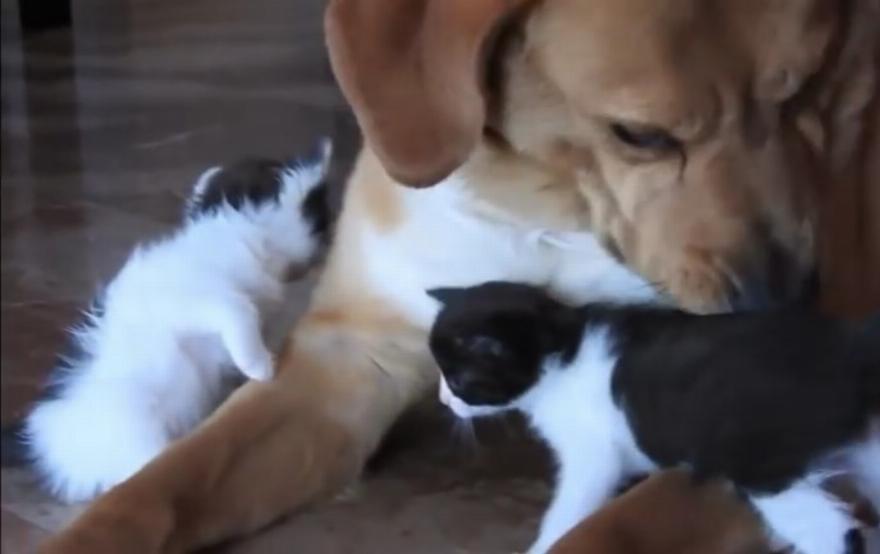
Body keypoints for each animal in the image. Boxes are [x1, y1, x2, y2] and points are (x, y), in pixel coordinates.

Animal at [1, 140, 334, 503]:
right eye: (322, 219)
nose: (333, 245)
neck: (237, 233)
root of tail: (38, 433)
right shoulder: (195, 300)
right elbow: (238, 311)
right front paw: (260, 366)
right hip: (134, 426)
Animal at [427, 281, 880, 554]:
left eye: (457, 378)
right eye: (441, 374)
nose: (443, 400)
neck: (565, 352)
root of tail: (851, 347)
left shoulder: (593, 454)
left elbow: (571, 505)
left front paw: (542, 545)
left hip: (758, 457)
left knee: (834, 530)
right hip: (867, 451)